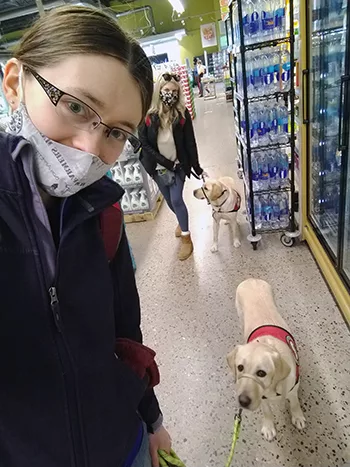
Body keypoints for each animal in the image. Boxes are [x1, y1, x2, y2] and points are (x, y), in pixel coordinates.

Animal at [228, 280, 304, 440]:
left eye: (261, 373)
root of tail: (251, 279)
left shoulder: (294, 389)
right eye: (240, 367)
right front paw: (269, 427)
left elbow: (294, 403)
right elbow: (267, 411)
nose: (242, 401)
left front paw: (298, 416)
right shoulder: (262, 399)